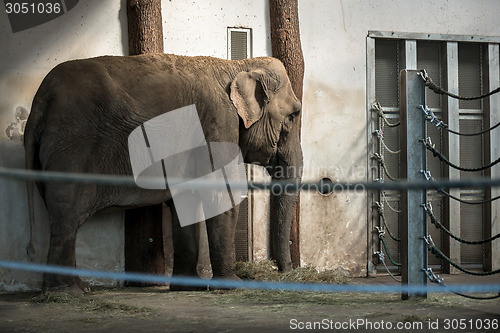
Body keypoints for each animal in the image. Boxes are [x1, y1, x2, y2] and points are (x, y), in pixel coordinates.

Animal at [25, 53, 302, 292]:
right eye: (293, 115)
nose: (286, 273)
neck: (238, 65)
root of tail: (40, 101)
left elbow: (184, 200)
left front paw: (188, 287)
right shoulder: (219, 121)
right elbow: (221, 193)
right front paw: (232, 286)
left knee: (63, 218)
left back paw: (81, 288)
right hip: (72, 147)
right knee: (67, 214)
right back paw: (68, 292)